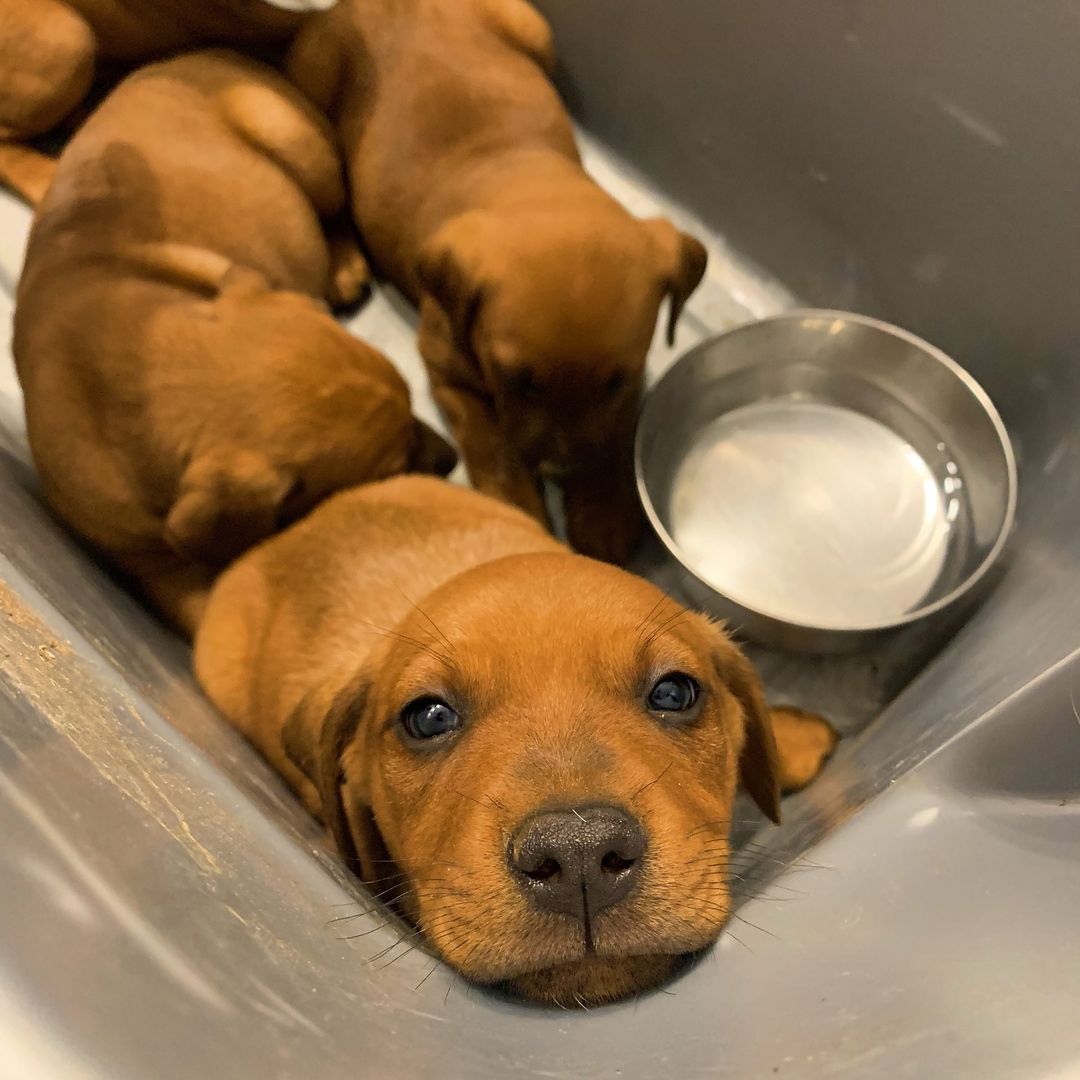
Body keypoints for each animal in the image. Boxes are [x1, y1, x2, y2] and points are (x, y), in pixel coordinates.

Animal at [16, 52, 455, 630]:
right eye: (387, 471)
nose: (451, 458)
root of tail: (203, 54)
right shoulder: (152, 564)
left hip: (292, 136)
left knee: (338, 209)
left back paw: (344, 264)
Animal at [287, 0, 708, 570]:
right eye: (514, 378)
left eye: (615, 381)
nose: (559, 467)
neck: (527, 178)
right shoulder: (446, 368)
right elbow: (492, 441)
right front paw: (517, 504)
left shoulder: (631, 377)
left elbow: (616, 433)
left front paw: (603, 511)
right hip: (312, 89)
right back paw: (344, 261)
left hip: (535, 30)